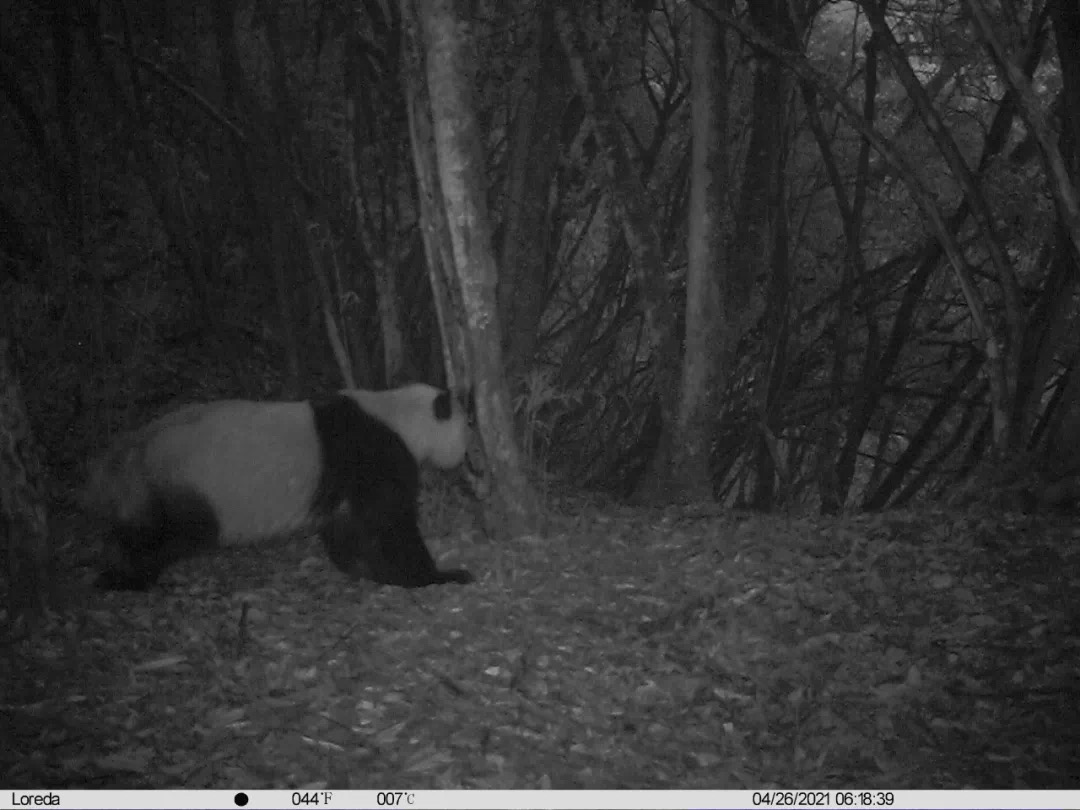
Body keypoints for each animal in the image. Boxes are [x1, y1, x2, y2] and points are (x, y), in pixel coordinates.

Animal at [83, 384, 475, 590]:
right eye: (465, 429)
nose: (466, 457)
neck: (400, 417)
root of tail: (132, 449)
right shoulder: (375, 455)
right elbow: (390, 522)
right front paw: (438, 575)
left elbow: (345, 526)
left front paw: (361, 568)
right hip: (187, 488)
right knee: (164, 536)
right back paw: (125, 577)